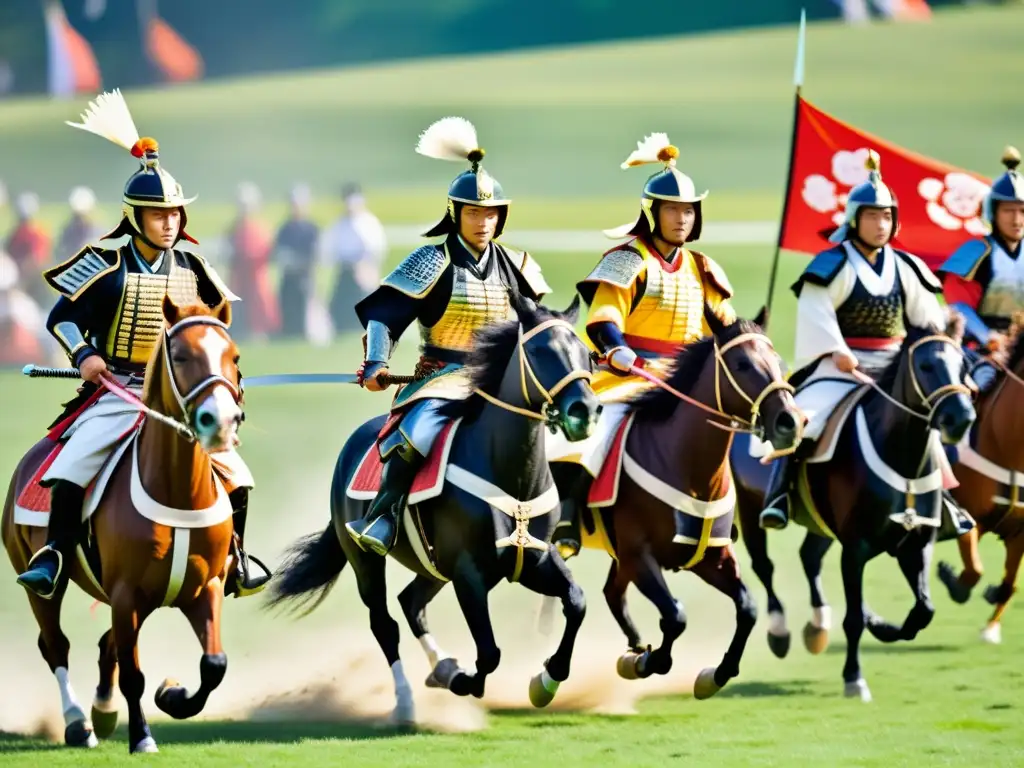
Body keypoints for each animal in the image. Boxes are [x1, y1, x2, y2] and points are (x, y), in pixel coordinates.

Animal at [4, 296, 249, 753]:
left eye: (234, 356)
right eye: (181, 355)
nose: (221, 421)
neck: (176, 490)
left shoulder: (205, 588)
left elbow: (214, 664)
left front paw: (173, 695)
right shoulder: (125, 594)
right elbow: (134, 676)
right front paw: (143, 737)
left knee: (107, 646)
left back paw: (102, 712)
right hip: (41, 585)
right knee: (56, 644)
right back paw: (78, 723)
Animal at [264, 296, 602, 724]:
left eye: (586, 354)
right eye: (541, 351)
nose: (583, 411)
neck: (511, 477)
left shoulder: (534, 562)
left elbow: (577, 602)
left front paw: (546, 680)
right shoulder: (469, 574)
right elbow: (489, 653)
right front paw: (462, 680)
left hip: (434, 568)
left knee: (411, 603)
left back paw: (440, 667)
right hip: (366, 561)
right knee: (385, 624)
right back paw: (407, 701)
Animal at [724, 319, 970, 704]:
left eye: (963, 364)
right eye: (926, 365)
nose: (961, 417)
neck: (901, 458)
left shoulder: (915, 543)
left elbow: (923, 611)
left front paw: (881, 626)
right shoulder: (856, 549)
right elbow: (853, 618)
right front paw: (854, 677)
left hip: (821, 524)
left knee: (809, 557)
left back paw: (820, 624)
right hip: (751, 514)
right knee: (765, 567)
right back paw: (780, 631)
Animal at [937, 315, 1024, 647]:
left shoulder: (1019, 532)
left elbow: (1010, 585)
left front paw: (991, 626)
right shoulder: (965, 516)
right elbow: (974, 569)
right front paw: (953, 580)